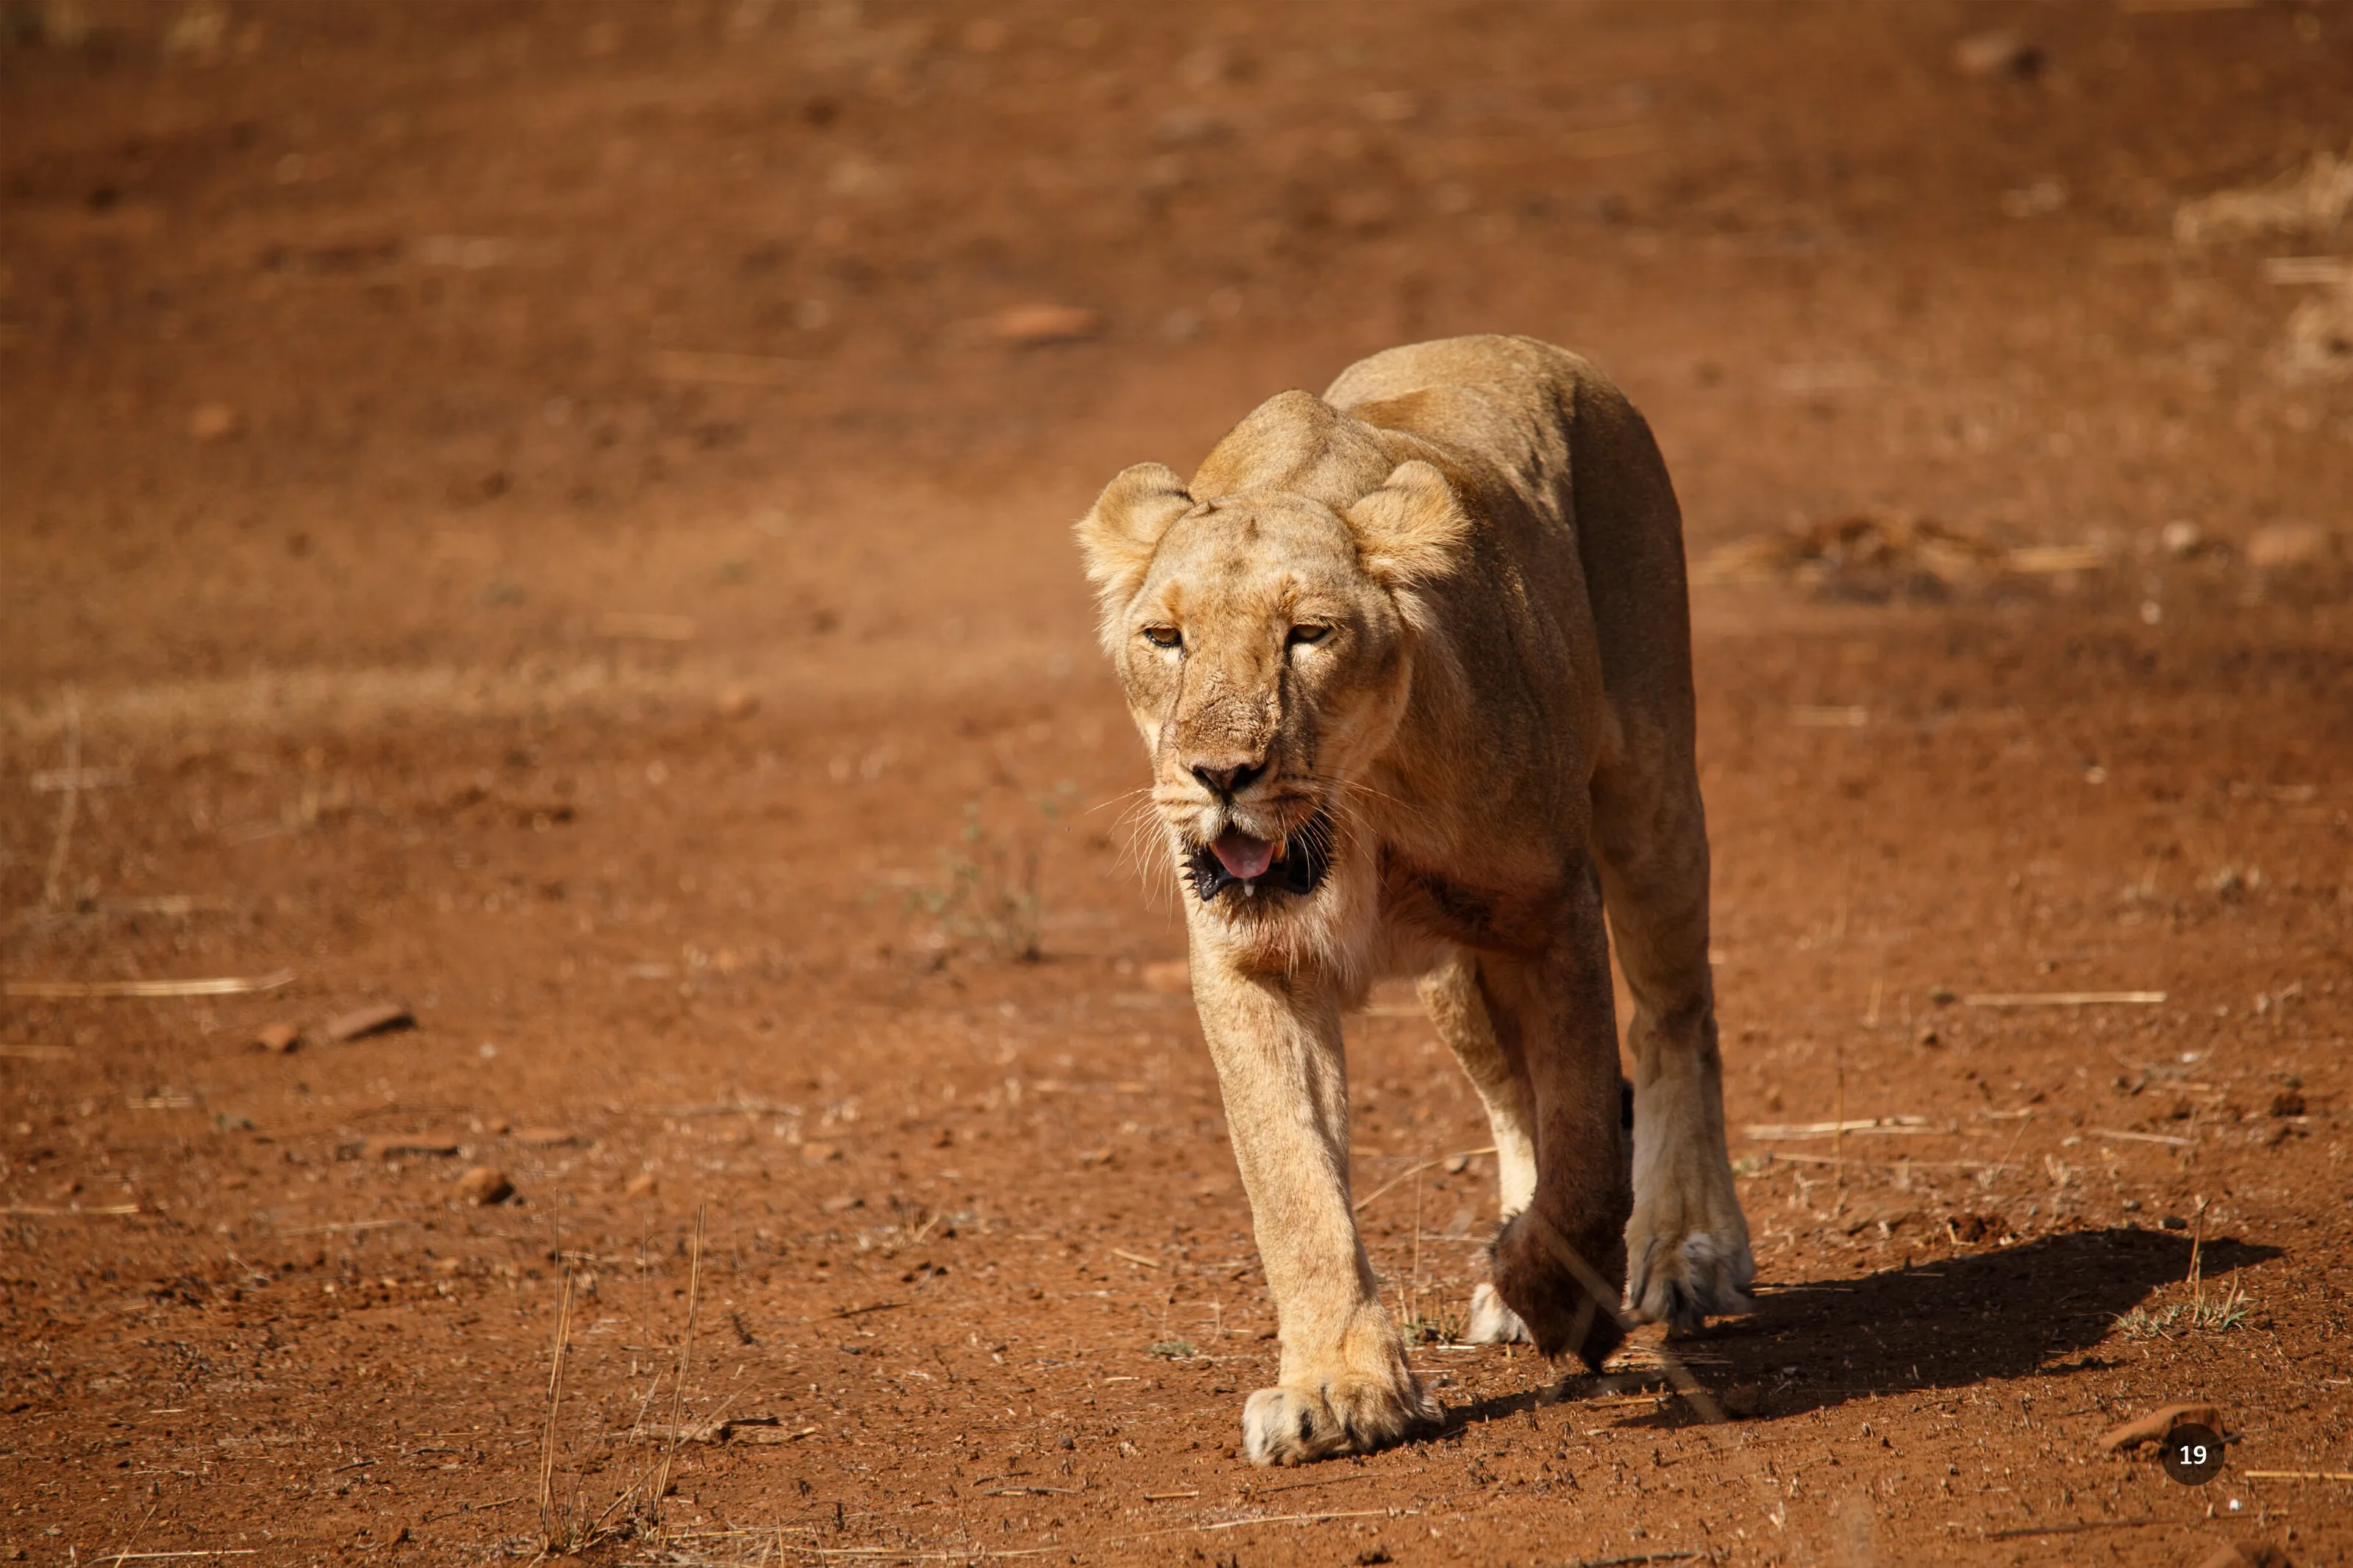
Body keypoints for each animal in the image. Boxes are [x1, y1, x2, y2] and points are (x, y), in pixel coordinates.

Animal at [1074, 334, 1754, 1466]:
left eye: (1308, 634)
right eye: (1164, 638)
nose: (1220, 775)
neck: (1355, 815)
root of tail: (1524, 345)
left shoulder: (1548, 910)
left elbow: (1584, 1146)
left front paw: (1561, 1294)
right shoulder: (1252, 962)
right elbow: (1294, 1187)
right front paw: (1339, 1390)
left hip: (1650, 790)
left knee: (1673, 1020)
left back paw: (1686, 1249)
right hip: (1454, 979)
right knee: (1512, 1095)